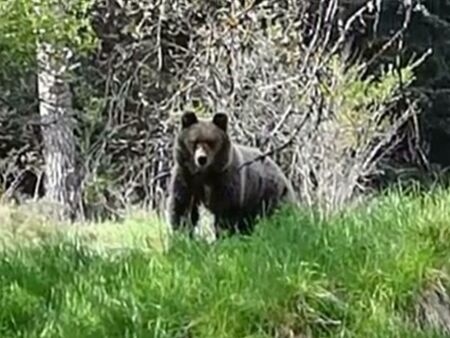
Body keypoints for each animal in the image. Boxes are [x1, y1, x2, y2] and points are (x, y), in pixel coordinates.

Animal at [167, 111, 298, 238]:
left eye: (211, 142)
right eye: (194, 141)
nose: (201, 159)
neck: (206, 174)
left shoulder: (226, 179)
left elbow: (226, 210)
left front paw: (223, 235)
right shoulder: (186, 177)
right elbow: (183, 207)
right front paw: (182, 234)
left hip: (269, 193)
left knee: (276, 217)